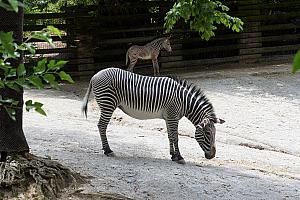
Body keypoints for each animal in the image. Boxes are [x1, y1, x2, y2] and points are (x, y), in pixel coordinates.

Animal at [82, 68, 225, 163]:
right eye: (208, 133)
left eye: (215, 133)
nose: (212, 155)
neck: (184, 101)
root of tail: (95, 76)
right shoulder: (173, 116)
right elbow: (176, 137)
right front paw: (179, 157)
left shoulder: (169, 117)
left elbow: (170, 136)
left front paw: (173, 155)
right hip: (108, 103)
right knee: (102, 125)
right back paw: (108, 150)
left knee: (101, 125)